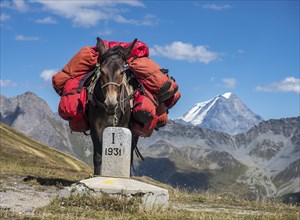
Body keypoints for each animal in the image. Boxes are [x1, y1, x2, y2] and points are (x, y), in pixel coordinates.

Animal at [86, 37, 139, 175]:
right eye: (102, 71)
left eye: (121, 72)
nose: (110, 104)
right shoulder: (95, 128)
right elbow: (98, 156)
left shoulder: (123, 126)